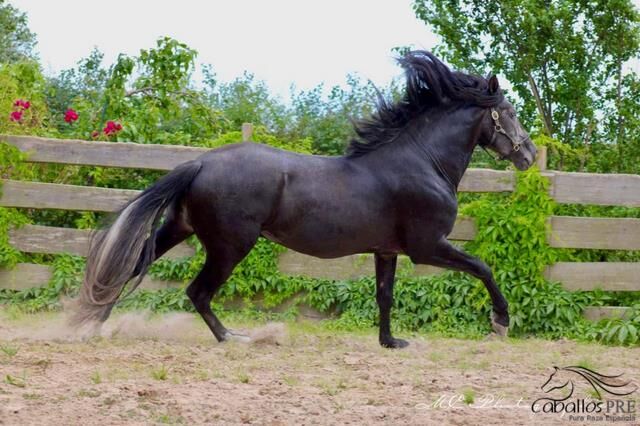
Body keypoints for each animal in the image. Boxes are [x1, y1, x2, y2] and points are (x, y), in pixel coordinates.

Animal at [74, 51, 536, 348]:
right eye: (510, 112)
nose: (528, 155)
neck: (423, 161)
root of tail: (201, 163)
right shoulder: (427, 247)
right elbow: (482, 267)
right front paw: (501, 322)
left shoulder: (387, 251)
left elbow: (384, 295)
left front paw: (391, 342)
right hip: (229, 246)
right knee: (197, 292)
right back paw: (235, 338)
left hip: (181, 227)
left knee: (132, 266)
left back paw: (94, 322)